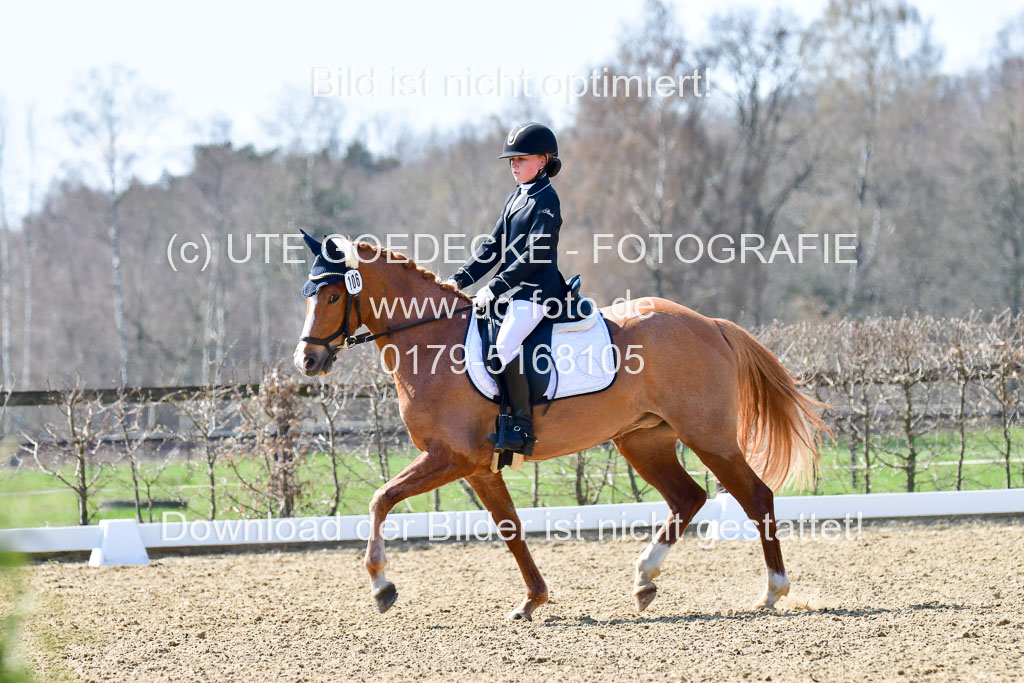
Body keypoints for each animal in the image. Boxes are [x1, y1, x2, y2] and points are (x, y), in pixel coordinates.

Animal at [292, 233, 827, 618]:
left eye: (334, 295)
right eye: (308, 296)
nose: (307, 361)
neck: (431, 341)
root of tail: (709, 324)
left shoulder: (451, 456)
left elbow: (381, 498)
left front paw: (382, 585)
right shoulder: (478, 467)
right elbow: (510, 528)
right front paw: (533, 600)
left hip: (709, 436)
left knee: (755, 496)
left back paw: (772, 591)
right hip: (643, 440)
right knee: (687, 498)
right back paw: (644, 580)